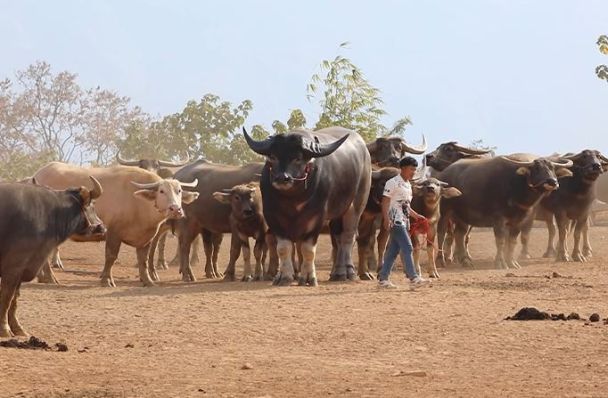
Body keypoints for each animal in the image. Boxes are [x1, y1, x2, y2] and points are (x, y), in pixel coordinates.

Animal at [0, 177, 105, 336]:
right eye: (92, 206)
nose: (103, 228)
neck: (50, 213)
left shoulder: (24, 268)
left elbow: (14, 299)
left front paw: (18, 329)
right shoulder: (14, 266)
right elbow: (6, 297)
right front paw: (4, 330)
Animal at [33, 162, 198, 286]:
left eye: (179, 191)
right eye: (162, 191)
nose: (176, 209)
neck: (137, 202)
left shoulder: (146, 238)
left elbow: (143, 259)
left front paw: (148, 280)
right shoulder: (113, 233)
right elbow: (111, 256)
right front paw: (106, 280)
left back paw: (42, 277)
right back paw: (50, 278)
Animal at [242, 126, 370, 284]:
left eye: (298, 158)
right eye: (272, 157)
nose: (282, 178)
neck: (293, 199)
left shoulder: (317, 218)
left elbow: (307, 249)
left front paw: (309, 277)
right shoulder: (272, 217)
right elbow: (284, 248)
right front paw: (284, 276)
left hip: (357, 204)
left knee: (348, 236)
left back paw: (347, 272)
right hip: (337, 214)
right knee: (338, 238)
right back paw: (336, 273)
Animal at [434, 154, 572, 268]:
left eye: (552, 168)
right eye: (537, 168)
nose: (553, 182)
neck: (516, 185)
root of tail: (443, 175)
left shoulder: (518, 221)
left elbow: (512, 242)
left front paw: (512, 262)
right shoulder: (498, 220)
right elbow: (500, 241)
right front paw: (500, 263)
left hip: (463, 216)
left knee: (459, 234)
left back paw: (465, 261)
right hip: (445, 211)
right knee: (441, 234)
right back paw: (440, 261)